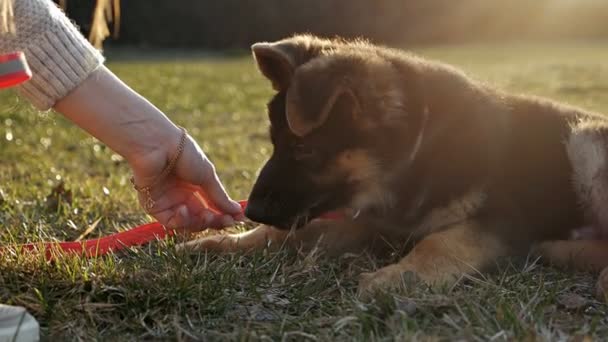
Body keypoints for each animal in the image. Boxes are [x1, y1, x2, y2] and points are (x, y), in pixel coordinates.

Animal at [183, 33, 608, 298]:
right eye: (273, 144)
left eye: (304, 149)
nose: (251, 210)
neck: (418, 154)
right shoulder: (363, 222)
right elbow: (289, 233)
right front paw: (229, 242)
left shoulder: (502, 217)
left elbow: (443, 241)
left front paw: (398, 277)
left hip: (584, 139)